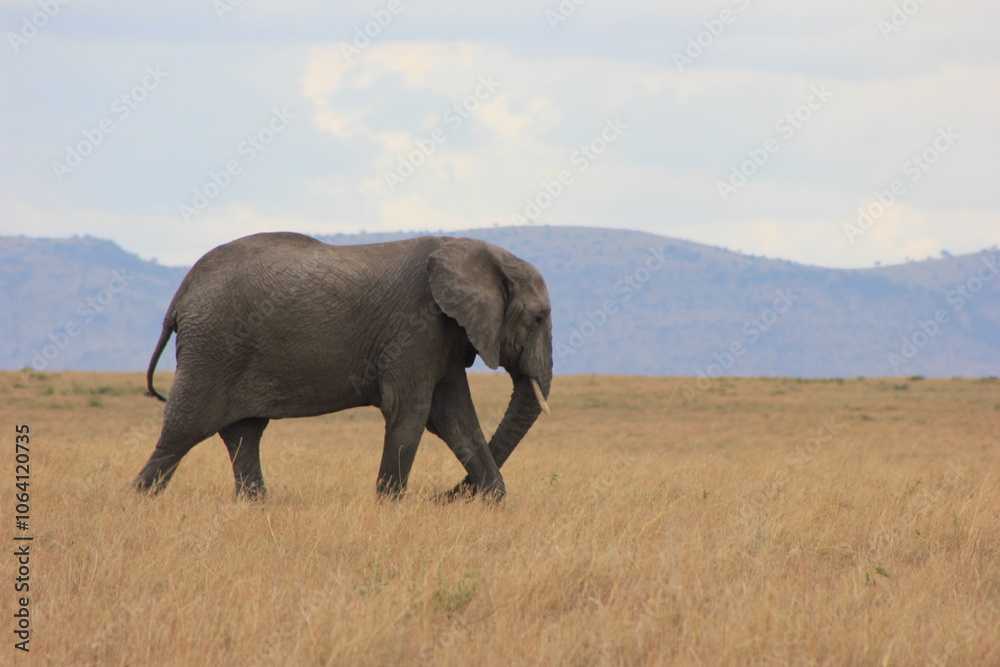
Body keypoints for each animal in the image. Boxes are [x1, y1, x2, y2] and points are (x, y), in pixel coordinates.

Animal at [133, 232, 552, 501]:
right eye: (539, 318)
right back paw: (138, 501)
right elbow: (411, 411)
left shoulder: (445, 335)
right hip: (215, 346)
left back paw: (255, 505)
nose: (441, 497)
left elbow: (456, 418)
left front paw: (496, 502)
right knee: (184, 429)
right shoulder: (415, 326)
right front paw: (388, 506)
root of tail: (181, 294)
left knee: (243, 433)